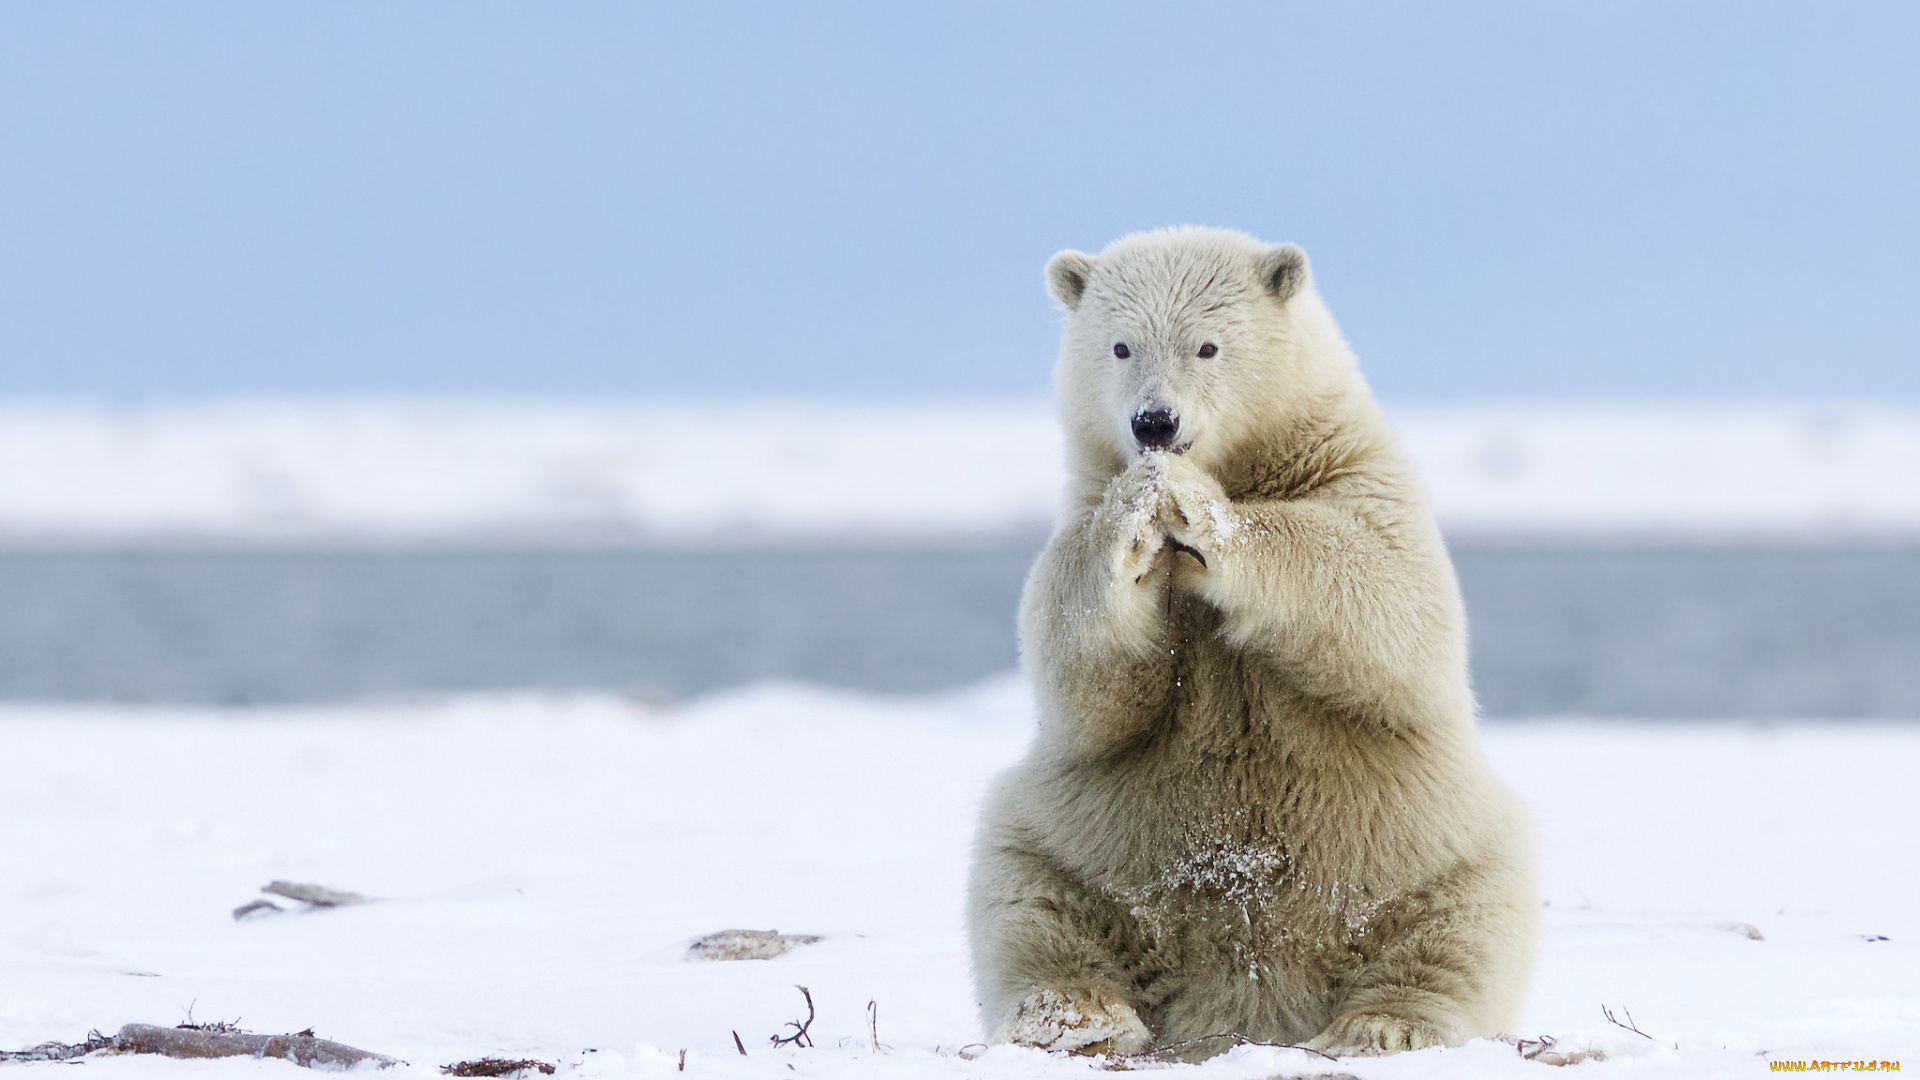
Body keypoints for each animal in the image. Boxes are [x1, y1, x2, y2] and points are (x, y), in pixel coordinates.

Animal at [967, 222, 1536, 1053]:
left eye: (1207, 346)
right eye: (1120, 345)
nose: (1154, 423)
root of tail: (1242, 1003)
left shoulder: (1358, 476)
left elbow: (1388, 597)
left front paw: (1198, 508)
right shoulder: (1077, 510)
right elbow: (1080, 676)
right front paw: (1138, 513)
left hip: (1426, 843)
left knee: (1461, 924)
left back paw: (1383, 1023)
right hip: (1081, 839)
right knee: (1031, 898)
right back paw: (1076, 1015)